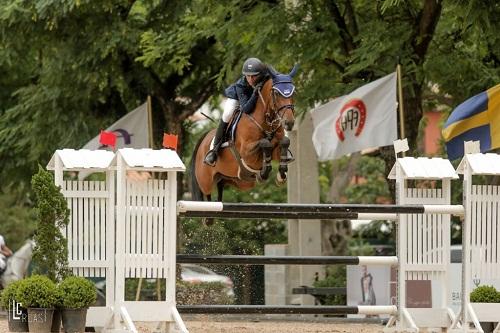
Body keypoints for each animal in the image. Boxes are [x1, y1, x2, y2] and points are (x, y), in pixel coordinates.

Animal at [188, 65, 296, 205]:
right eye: (277, 93)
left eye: (293, 93)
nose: (289, 122)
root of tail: (203, 140)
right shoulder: (247, 153)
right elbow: (265, 143)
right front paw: (263, 173)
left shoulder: (277, 149)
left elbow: (284, 142)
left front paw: (281, 176)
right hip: (205, 183)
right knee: (206, 199)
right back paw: (211, 157)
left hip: (228, 179)